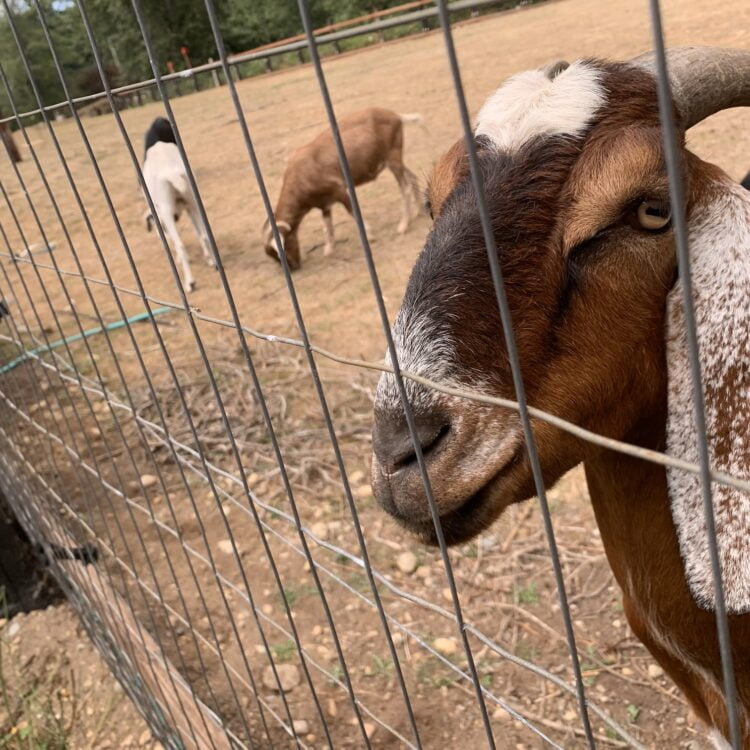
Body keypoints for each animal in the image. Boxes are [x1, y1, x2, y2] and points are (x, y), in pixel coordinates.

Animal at [142, 117, 214, 292]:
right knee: (204, 235)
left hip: (169, 210)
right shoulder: (189, 207)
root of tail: (171, 173)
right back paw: (213, 262)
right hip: (194, 202)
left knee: (181, 245)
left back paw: (190, 283)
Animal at [262, 107, 423, 270]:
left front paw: (370, 236)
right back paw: (417, 211)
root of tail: (396, 116)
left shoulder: (340, 190)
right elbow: (327, 224)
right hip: (393, 161)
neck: (300, 174)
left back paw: (403, 225)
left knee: (405, 187)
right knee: (412, 177)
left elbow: (352, 212)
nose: (294, 268)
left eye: (282, 250)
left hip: (392, 158)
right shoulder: (324, 203)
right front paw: (329, 249)